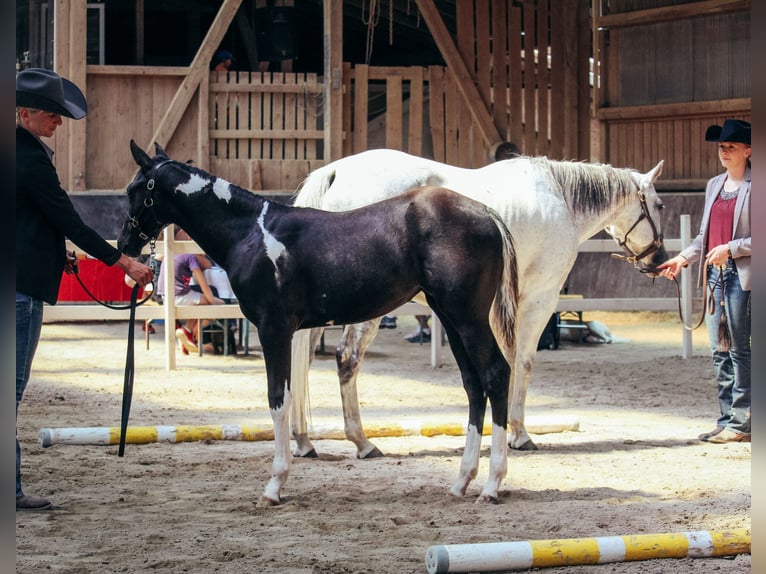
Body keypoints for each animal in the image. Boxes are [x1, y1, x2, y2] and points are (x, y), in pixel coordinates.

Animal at [117, 141, 519, 505]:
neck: (251, 232)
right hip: (451, 318)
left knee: (496, 373)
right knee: (473, 385)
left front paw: (275, 486)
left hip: (469, 318)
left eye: (134, 190)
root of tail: (487, 214)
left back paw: (491, 485)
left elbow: (277, 399)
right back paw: (461, 482)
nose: (124, 245)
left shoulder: (274, 329)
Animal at [288, 149, 668, 461]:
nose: (659, 260)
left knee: (302, 358)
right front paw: (519, 434)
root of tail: (336, 172)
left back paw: (303, 440)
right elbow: (522, 362)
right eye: (660, 205)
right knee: (347, 358)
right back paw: (361, 442)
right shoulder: (538, 298)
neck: (560, 199)